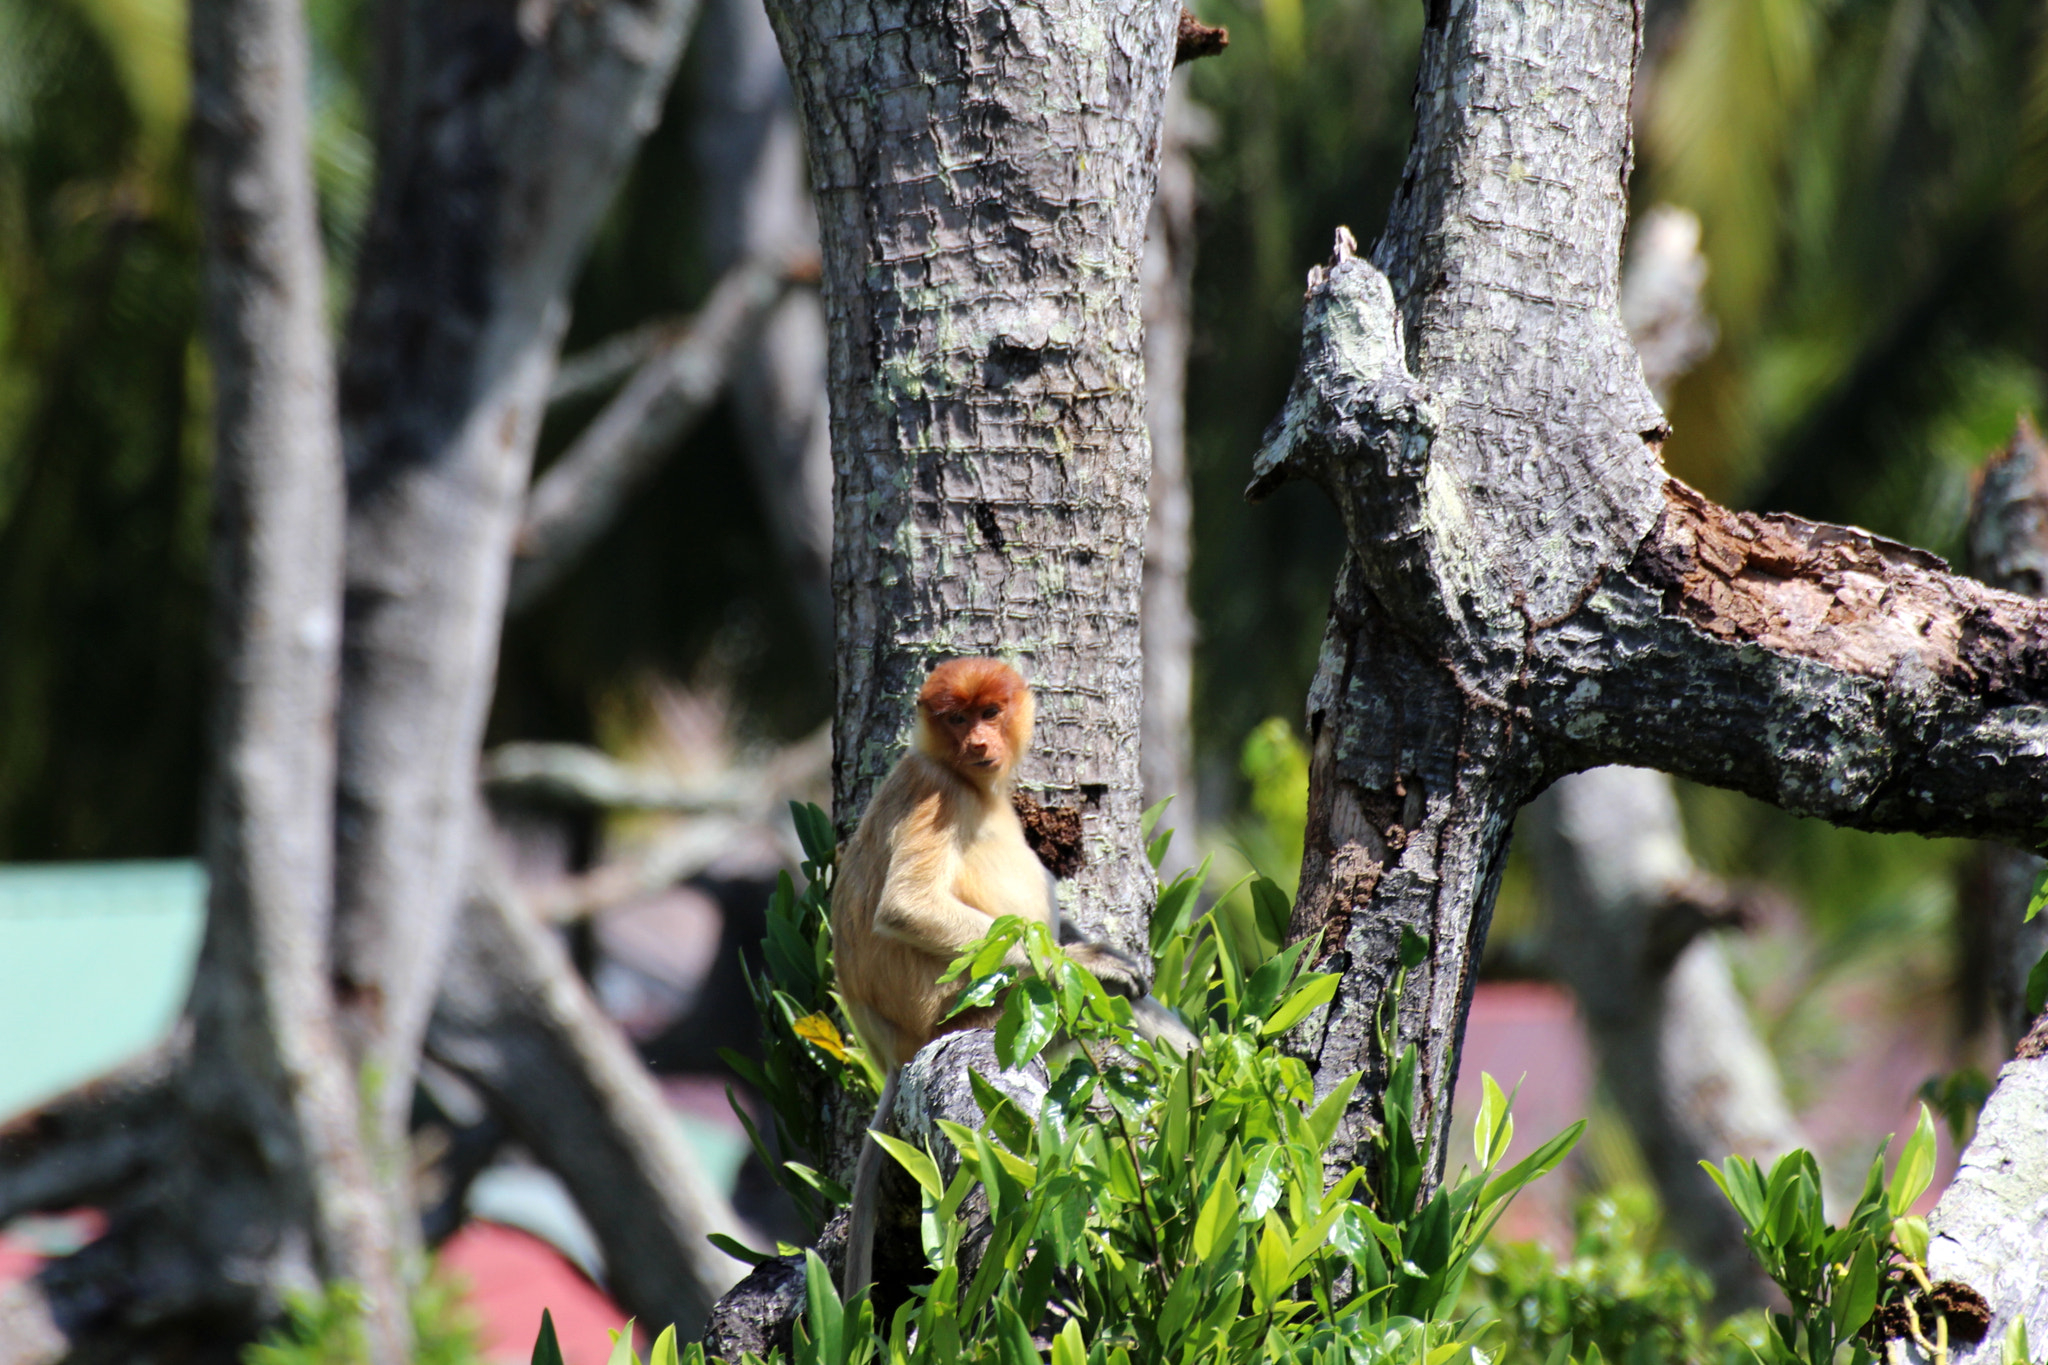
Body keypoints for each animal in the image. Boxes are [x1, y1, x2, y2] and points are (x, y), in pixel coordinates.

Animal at [830, 657, 1195, 1298]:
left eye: (989, 712)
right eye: (955, 719)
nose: (978, 744)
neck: (969, 781)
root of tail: (898, 1053)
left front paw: (1102, 949)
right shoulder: (935, 790)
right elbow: (906, 908)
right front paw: (1096, 964)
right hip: (981, 1011)